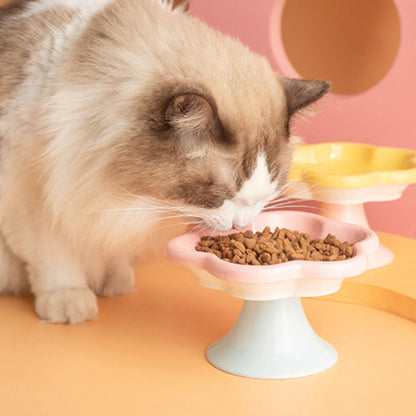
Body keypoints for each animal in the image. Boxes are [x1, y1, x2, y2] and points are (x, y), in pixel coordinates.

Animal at [0, 0, 330, 324]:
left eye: (270, 193)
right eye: (218, 195)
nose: (241, 225)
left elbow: (108, 244)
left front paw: (113, 279)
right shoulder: (31, 198)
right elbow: (56, 259)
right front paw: (70, 302)